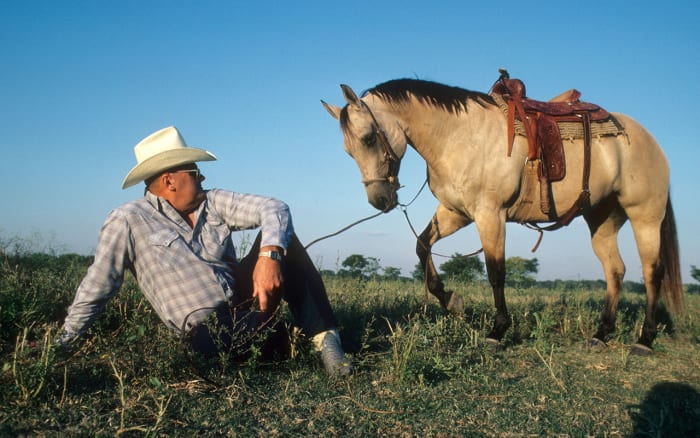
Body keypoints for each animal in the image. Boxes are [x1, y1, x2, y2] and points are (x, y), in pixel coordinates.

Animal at [321, 74, 683, 355]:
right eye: (348, 150)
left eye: (369, 138)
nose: (379, 200)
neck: (459, 136)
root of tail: (649, 140)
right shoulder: (455, 212)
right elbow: (422, 246)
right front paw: (451, 301)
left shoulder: (489, 214)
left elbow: (496, 272)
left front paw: (497, 331)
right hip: (602, 220)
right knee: (615, 271)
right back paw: (600, 334)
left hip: (645, 217)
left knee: (652, 273)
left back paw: (645, 339)